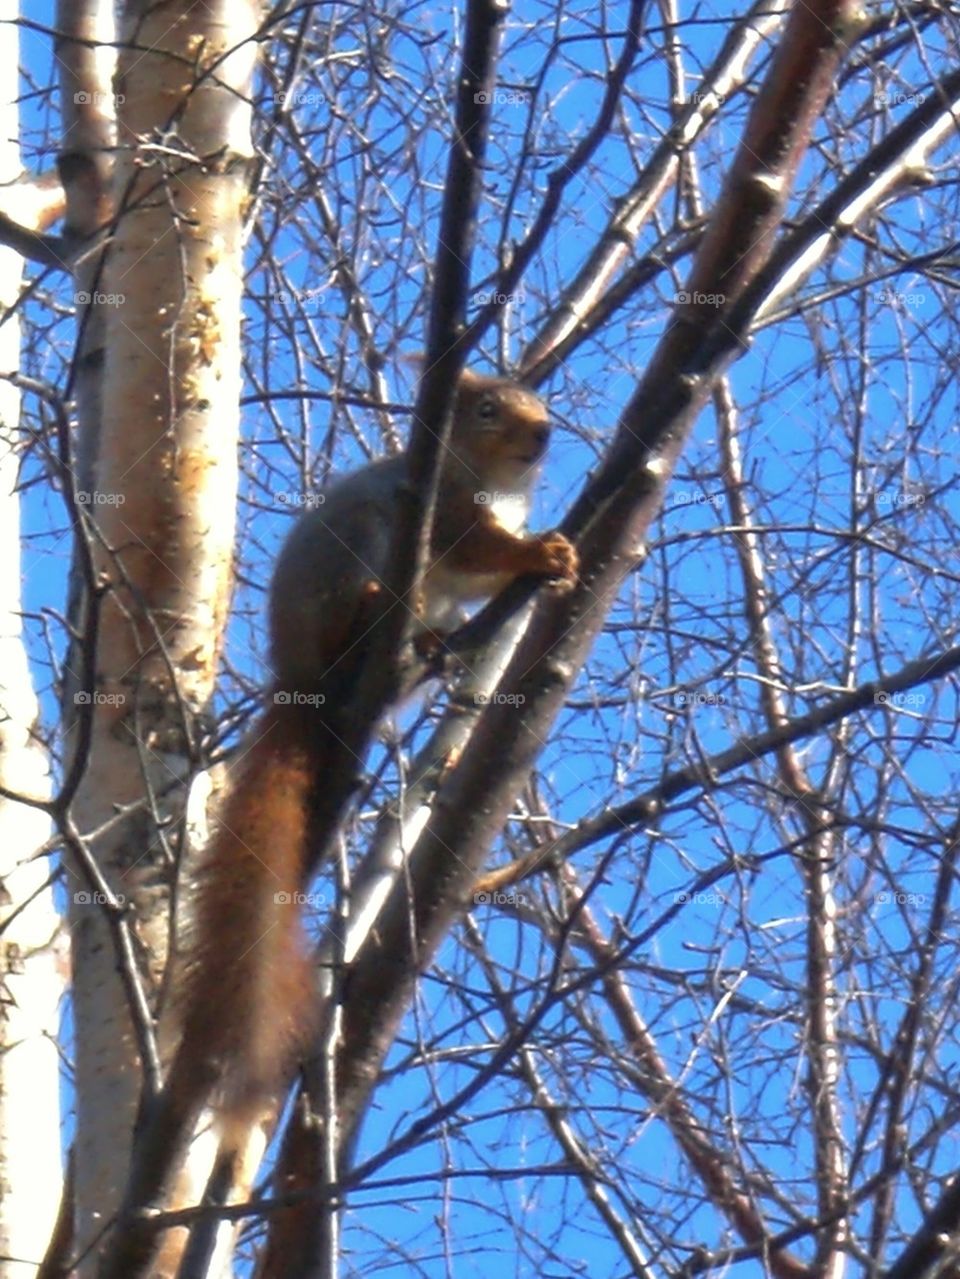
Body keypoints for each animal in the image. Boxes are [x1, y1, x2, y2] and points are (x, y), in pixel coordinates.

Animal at [105, 369, 578, 1276]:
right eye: (488, 408)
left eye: (541, 403)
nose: (543, 435)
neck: (488, 479)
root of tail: (299, 678)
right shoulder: (445, 513)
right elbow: (479, 550)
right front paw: (544, 554)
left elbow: (480, 579)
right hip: (360, 543)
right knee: (361, 595)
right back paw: (372, 614)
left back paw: (429, 649)